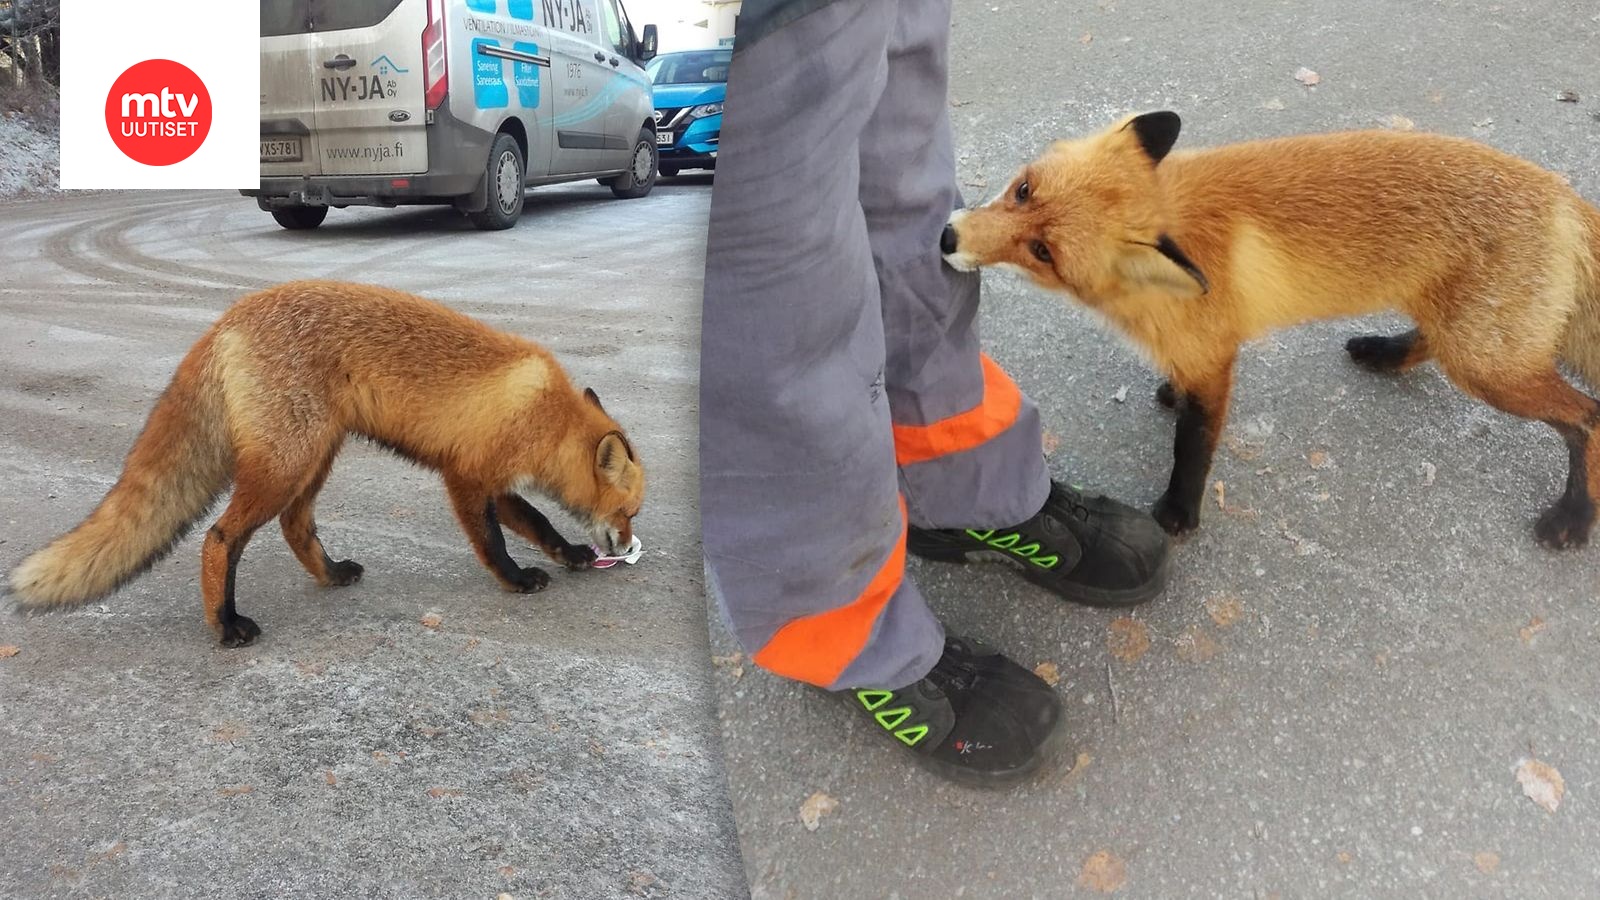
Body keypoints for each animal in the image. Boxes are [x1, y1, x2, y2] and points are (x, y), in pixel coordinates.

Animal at [7, 280, 643, 643]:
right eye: (631, 510)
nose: (627, 544)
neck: (547, 413)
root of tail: (227, 318)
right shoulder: (465, 476)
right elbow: (496, 542)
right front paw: (516, 580)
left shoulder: (492, 478)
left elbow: (538, 522)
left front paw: (571, 555)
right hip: (286, 465)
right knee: (219, 538)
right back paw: (225, 625)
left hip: (316, 458)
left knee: (296, 526)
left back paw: (331, 575)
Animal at [940, 110, 1600, 547]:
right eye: (1022, 190)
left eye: (1043, 251)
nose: (947, 238)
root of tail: (1564, 197)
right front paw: (1169, 391)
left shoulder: (1216, 359)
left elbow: (1193, 446)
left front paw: (1179, 512)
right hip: (1463, 335)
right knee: (1427, 344)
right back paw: (1384, 353)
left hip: (1487, 366)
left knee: (1588, 417)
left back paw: (1576, 514)